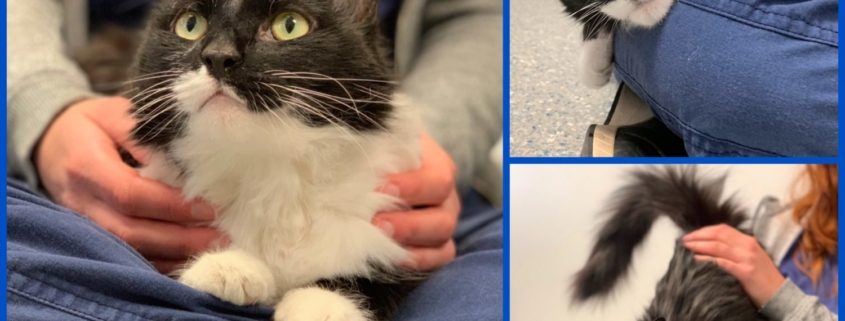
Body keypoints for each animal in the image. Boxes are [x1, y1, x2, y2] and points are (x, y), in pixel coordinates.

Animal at [126, 0, 422, 320]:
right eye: (190, 24)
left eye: (289, 25)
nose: (218, 56)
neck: (267, 168)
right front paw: (229, 266)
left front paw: (321, 303)